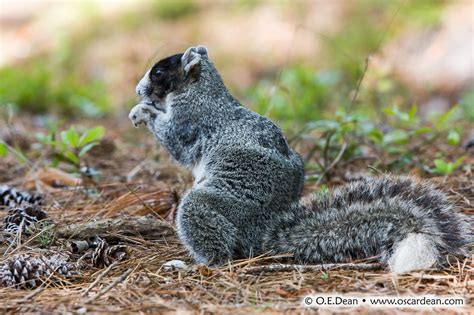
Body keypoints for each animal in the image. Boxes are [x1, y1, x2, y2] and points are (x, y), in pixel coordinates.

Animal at [129, 45, 470, 274]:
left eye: (159, 71)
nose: (138, 89)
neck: (203, 89)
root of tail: (264, 231)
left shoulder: (191, 120)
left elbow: (175, 143)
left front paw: (143, 112)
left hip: (207, 208)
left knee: (219, 253)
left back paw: (192, 264)